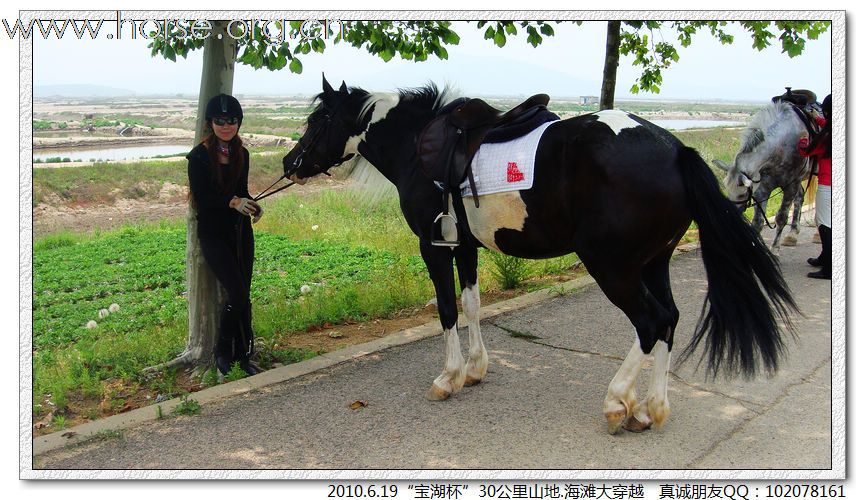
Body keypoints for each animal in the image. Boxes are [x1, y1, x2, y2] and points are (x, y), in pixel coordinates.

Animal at [284, 78, 796, 434]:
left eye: (316, 122)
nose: (291, 163)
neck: (418, 147)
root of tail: (675, 149)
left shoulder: (434, 248)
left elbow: (447, 310)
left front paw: (449, 377)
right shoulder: (463, 246)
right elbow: (472, 305)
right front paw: (476, 369)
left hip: (613, 267)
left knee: (651, 322)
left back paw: (618, 403)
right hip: (654, 263)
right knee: (668, 320)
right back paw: (651, 409)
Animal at [708, 101, 816, 252]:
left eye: (742, 194)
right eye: (727, 189)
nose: (729, 215)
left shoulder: (791, 185)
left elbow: (781, 217)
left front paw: (774, 249)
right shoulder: (763, 186)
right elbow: (757, 222)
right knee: (800, 197)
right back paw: (792, 234)